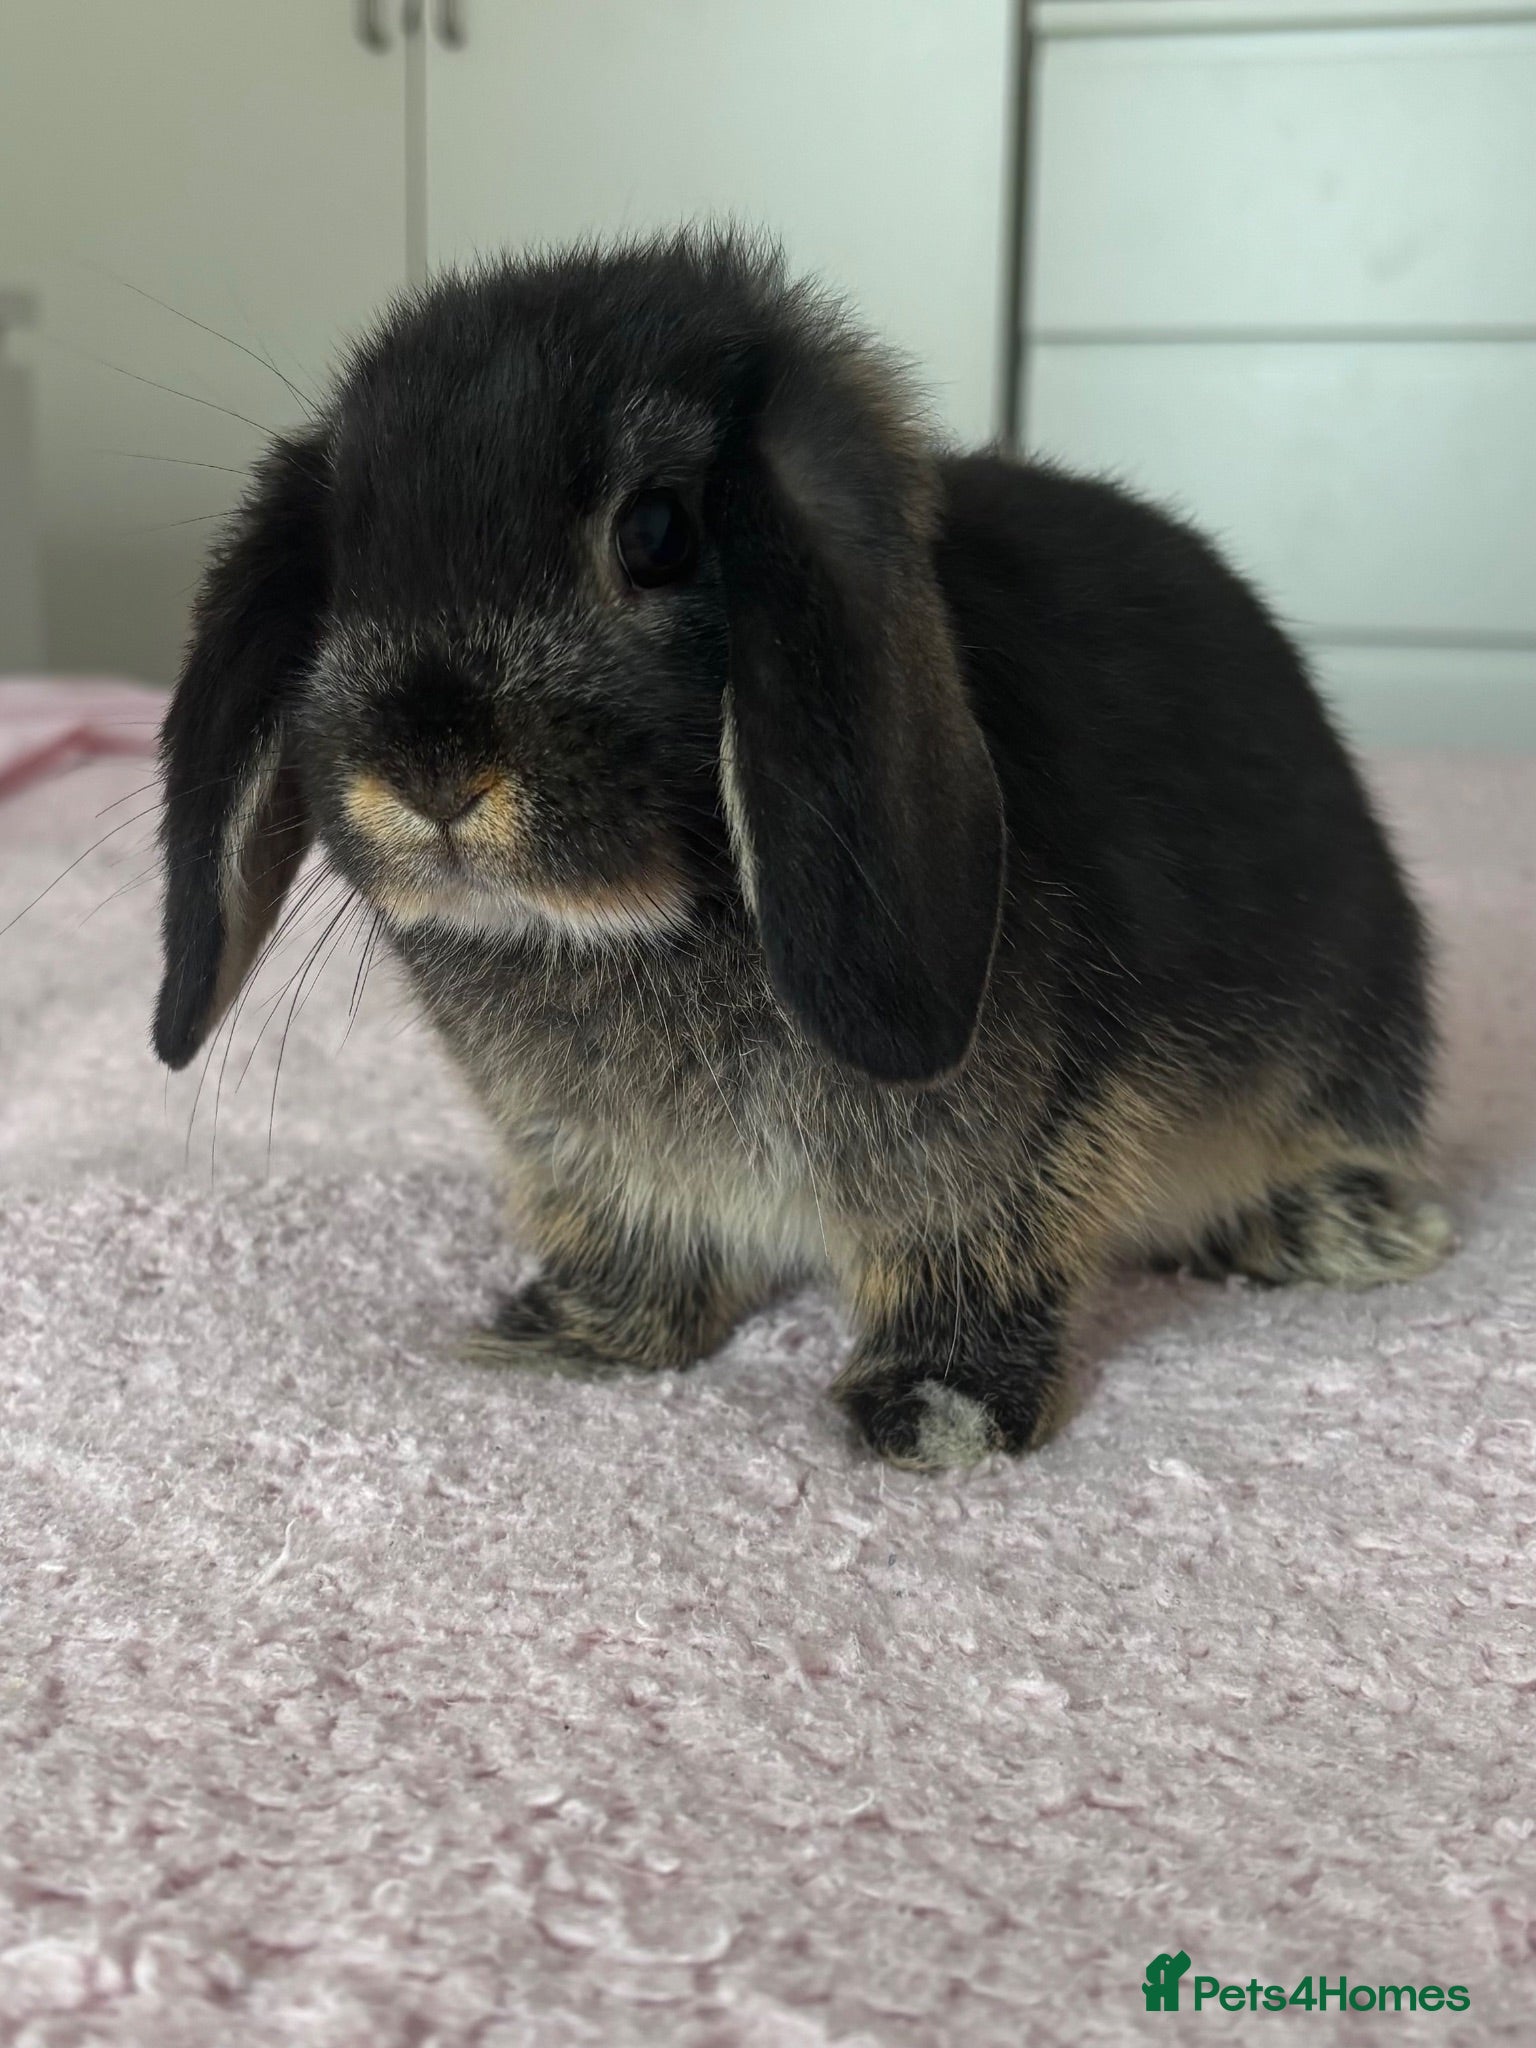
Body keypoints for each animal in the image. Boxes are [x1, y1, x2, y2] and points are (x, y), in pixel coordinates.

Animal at [152, 231, 1452, 1470]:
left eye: (658, 532)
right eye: (340, 563)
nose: (429, 772)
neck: (633, 929)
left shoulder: (1004, 1151)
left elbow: (973, 1254)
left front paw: (937, 1412)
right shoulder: (602, 1168)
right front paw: (566, 1336)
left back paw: (1346, 1231)